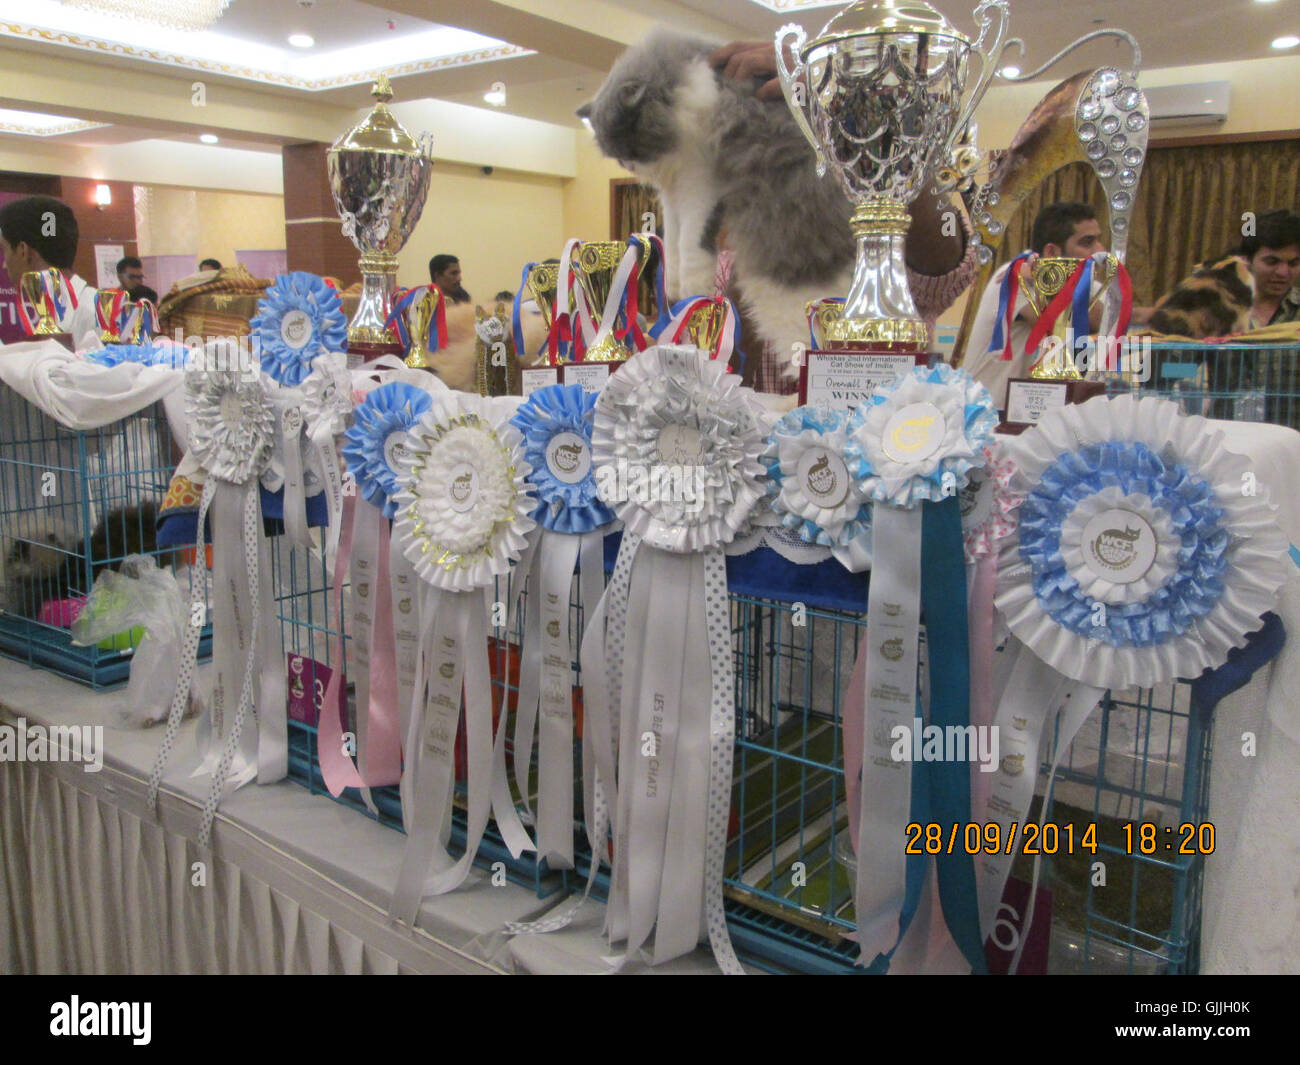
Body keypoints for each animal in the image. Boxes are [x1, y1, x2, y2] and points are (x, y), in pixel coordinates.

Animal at [579, 30, 852, 382]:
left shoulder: (699, 185)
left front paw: (692, 285)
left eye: (630, 140)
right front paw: (674, 284)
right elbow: (673, 242)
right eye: (614, 150)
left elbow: (691, 243)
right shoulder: (672, 196)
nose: (627, 162)